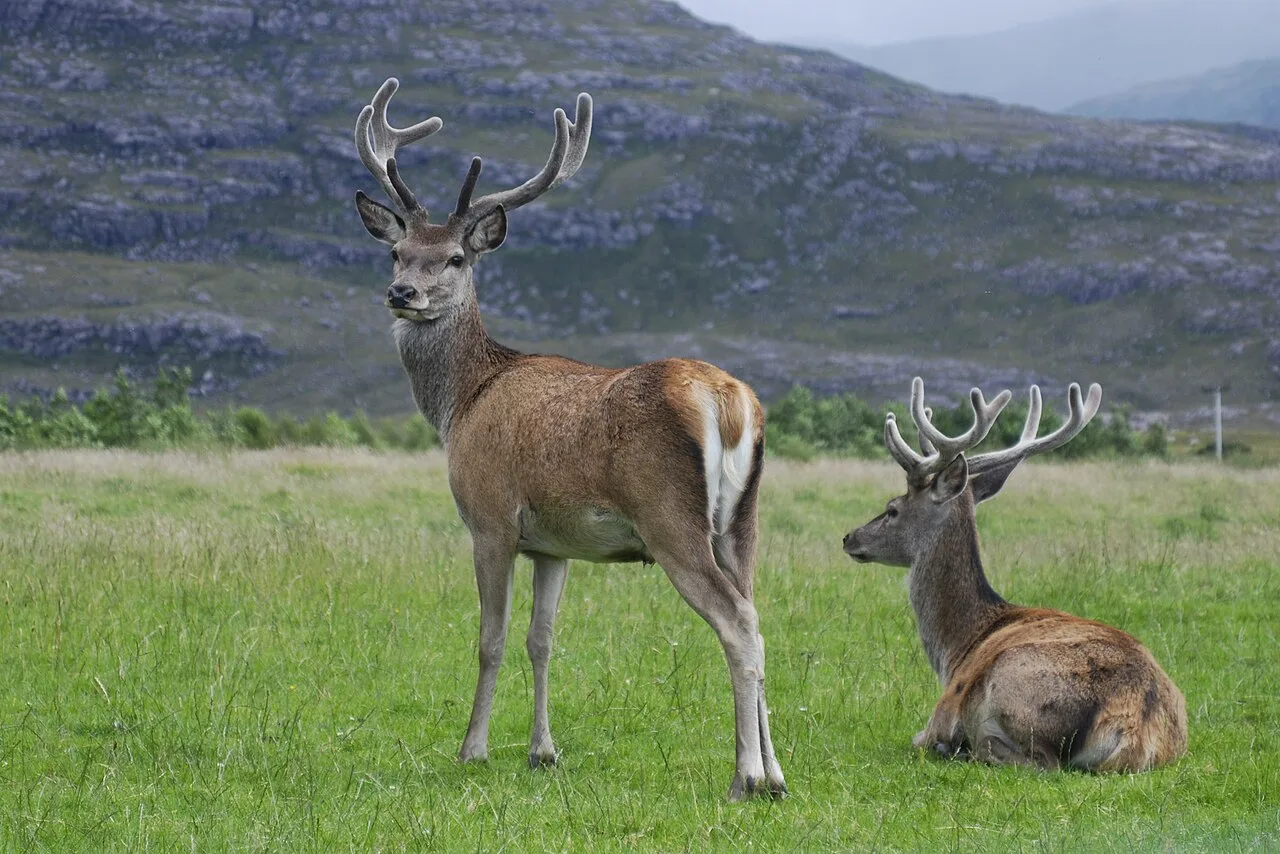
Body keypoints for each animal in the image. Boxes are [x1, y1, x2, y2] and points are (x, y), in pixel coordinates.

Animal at [350, 79, 786, 800]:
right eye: (395, 251)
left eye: (456, 257)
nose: (402, 292)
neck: (462, 400)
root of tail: (729, 403)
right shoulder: (553, 545)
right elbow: (542, 639)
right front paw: (542, 751)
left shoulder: (491, 518)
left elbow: (491, 639)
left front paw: (472, 749)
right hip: (742, 520)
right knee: (758, 612)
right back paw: (776, 773)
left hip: (670, 517)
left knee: (739, 625)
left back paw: (744, 775)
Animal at [843, 378, 1187, 772]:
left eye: (892, 509)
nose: (849, 537)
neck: (957, 647)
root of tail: (1136, 724)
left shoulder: (939, 713)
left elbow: (918, 739)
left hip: (1016, 685)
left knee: (1038, 761)